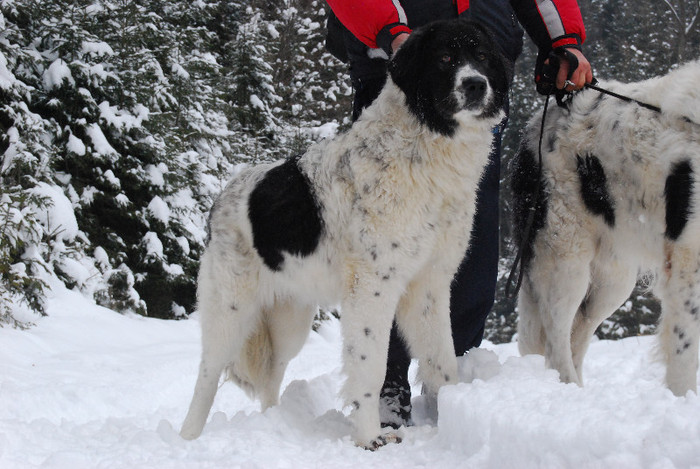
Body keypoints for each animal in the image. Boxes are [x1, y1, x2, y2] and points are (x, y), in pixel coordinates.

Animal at [178, 20, 512, 448]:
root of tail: (224, 195)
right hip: (231, 311)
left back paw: (274, 422)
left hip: (290, 321)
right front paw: (370, 438)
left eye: (482, 56)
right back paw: (186, 439)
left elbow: (442, 362)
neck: (425, 147)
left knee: (271, 377)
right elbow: (371, 366)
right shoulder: (373, 286)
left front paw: (453, 414)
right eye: (445, 58)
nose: (475, 84)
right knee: (206, 376)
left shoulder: (429, 286)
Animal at [512, 58, 700, 394]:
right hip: (564, 258)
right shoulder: (687, 258)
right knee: (556, 341)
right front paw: (683, 398)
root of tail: (537, 122)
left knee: (576, 336)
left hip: (611, 279)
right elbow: (684, 350)